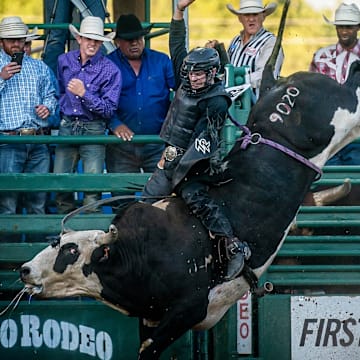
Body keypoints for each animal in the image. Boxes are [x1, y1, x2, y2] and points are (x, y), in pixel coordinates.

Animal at [19, 1, 360, 358]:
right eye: (54, 242)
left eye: (70, 250)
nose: (25, 270)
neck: (133, 250)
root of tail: (283, 83)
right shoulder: (151, 316)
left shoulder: (187, 310)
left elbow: (150, 349)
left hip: (346, 112)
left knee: (353, 85)